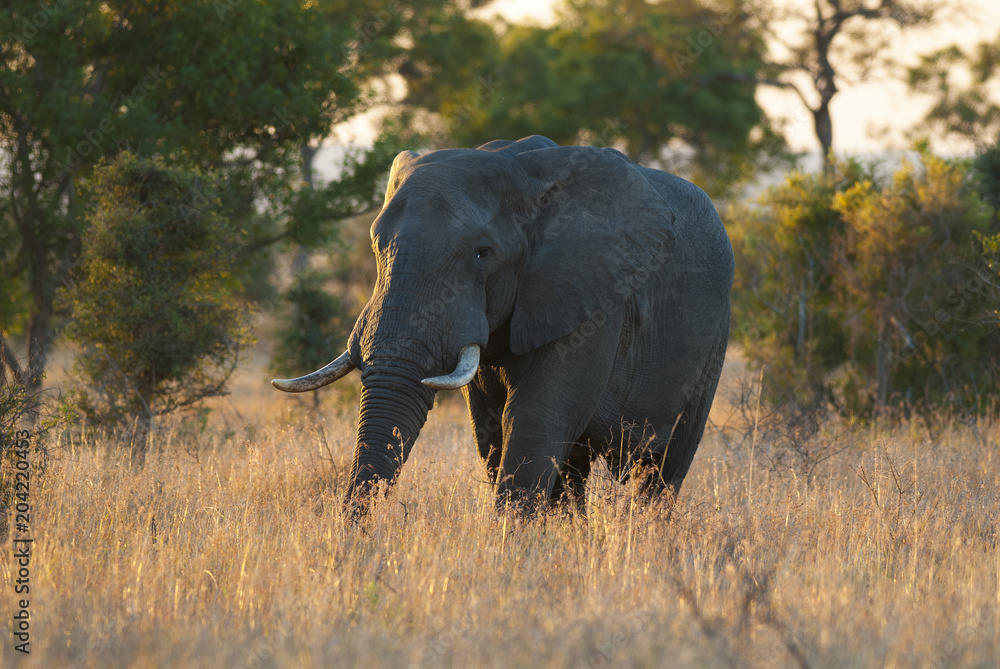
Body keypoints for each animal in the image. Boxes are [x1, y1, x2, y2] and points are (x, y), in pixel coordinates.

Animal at [272, 135, 733, 514]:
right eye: (376, 247)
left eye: (483, 253)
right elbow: (492, 430)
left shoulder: (593, 296)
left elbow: (534, 421)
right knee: (575, 469)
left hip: (715, 337)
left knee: (665, 465)